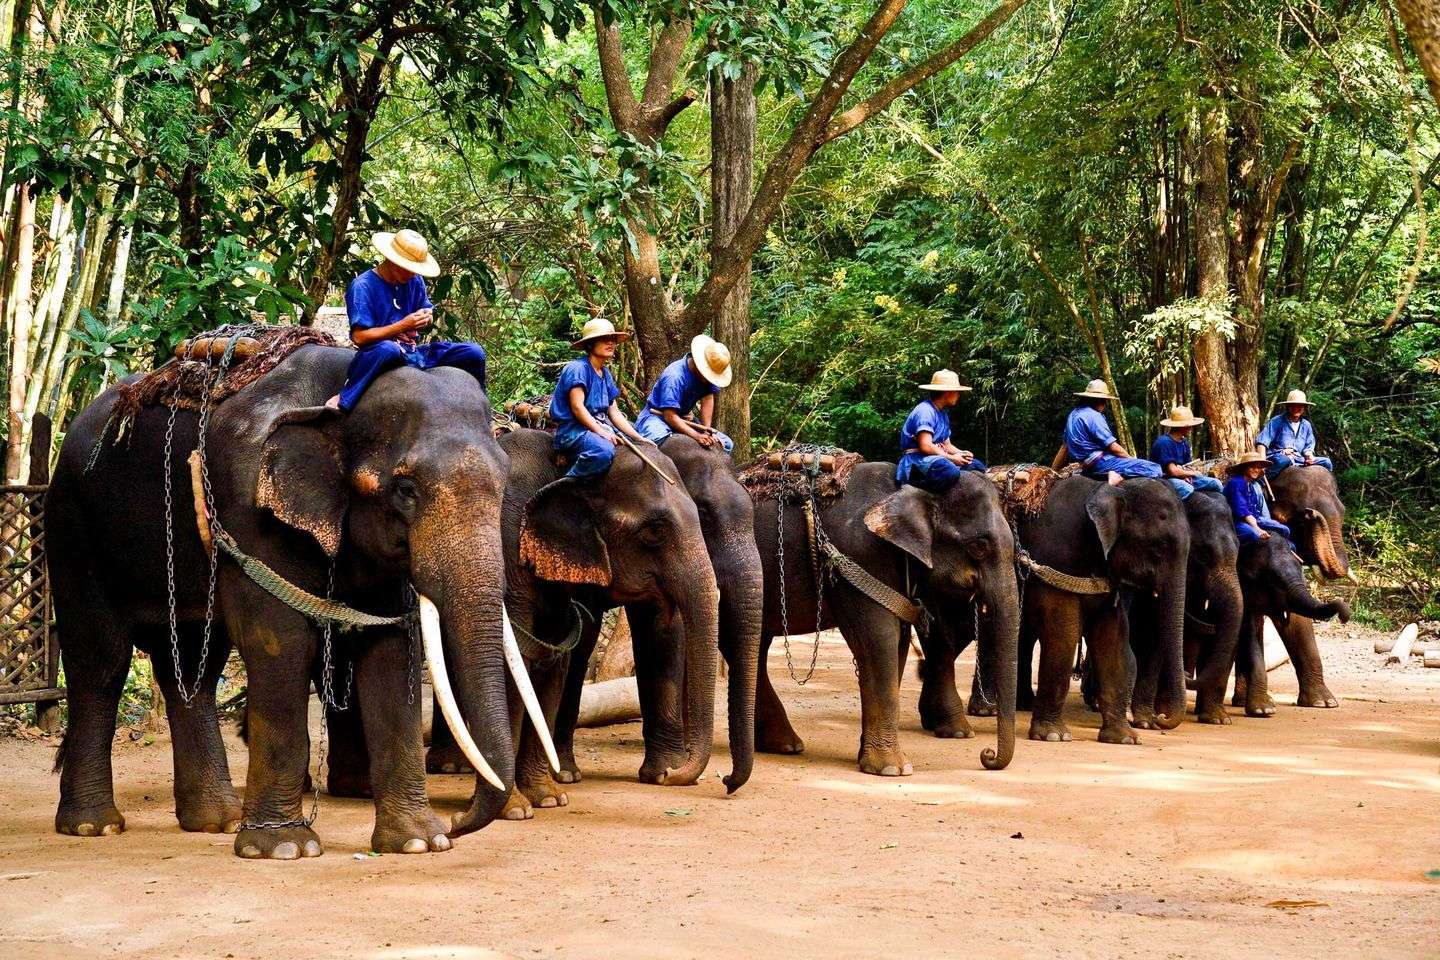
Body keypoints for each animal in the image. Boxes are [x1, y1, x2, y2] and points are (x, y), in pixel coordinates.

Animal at [47, 345, 543, 859]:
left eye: (504, 481)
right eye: (405, 490)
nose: (459, 821)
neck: (344, 386)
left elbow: (391, 647)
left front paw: (420, 842)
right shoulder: (249, 506)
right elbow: (278, 639)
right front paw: (284, 848)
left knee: (191, 664)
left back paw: (216, 821)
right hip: (71, 524)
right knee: (100, 662)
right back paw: (94, 826)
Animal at [752, 465, 1018, 776]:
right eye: (979, 545)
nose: (986, 755)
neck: (907, 488)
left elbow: (898, 643)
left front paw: (869, 759)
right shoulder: (861, 556)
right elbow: (878, 639)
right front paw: (893, 769)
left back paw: (784, 745)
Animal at [1014, 476, 1189, 745]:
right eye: (1158, 547)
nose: (1160, 718)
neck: (1105, 489)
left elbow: (1113, 638)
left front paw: (1125, 739)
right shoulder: (1055, 559)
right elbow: (1063, 634)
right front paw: (1054, 736)